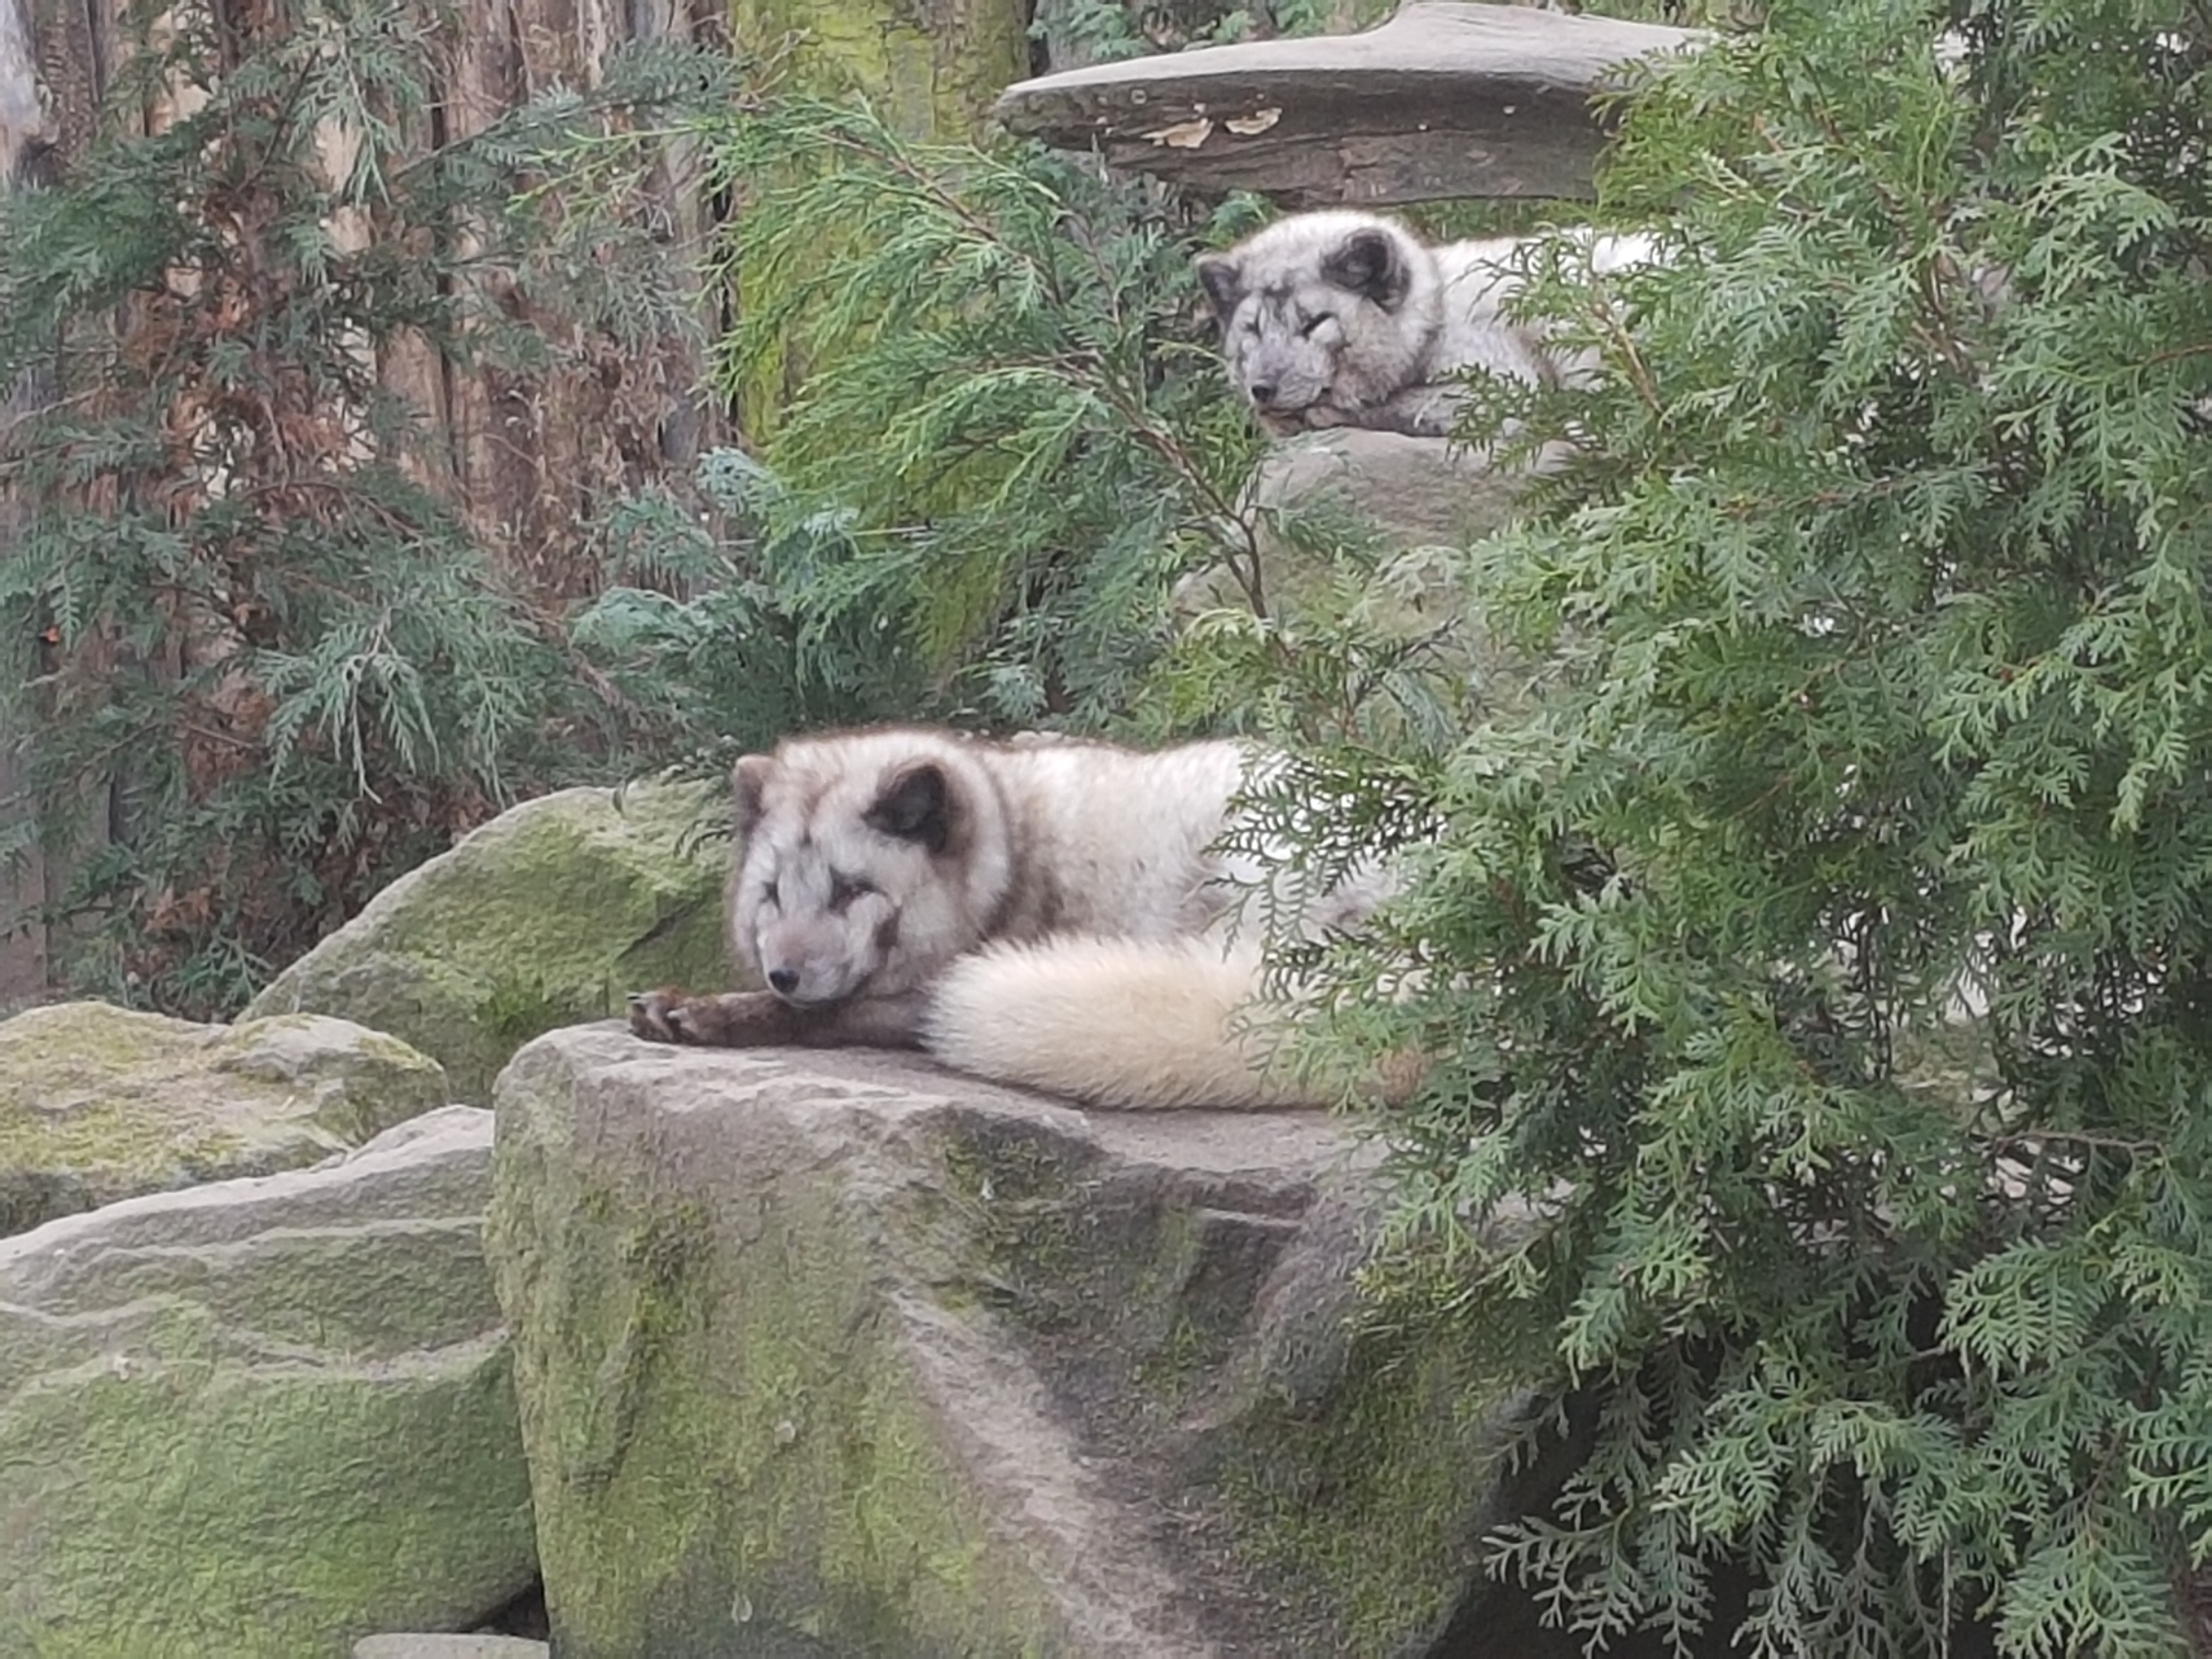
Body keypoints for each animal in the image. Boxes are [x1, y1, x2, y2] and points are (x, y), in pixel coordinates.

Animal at [626, 727, 1396, 1111]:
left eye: (850, 891)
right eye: (773, 893)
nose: (781, 974)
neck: (1015, 847)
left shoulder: (941, 982)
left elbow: (829, 1015)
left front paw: (706, 1011)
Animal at [1195, 210, 1651, 439]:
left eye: (1315, 323)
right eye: (1252, 329)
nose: (1262, 390)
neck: (1437, 312)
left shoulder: (1503, 384)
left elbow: (1402, 405)